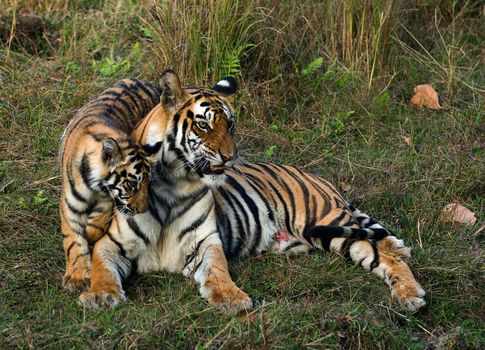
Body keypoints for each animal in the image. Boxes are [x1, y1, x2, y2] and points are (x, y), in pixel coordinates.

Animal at [58, 78, 161, 292]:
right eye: (132, 184)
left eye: (148, 183)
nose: (143, 209)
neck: (95, 185)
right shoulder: (69, 204)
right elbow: (73, 240)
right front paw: (77, 278)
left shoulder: (107, 199)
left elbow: (97, 224)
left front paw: (90, 233)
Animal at [78, 71, 424, 312]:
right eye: (203, 125)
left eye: (230, 125)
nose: (231, 157)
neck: (173, 186)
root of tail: (319, 178)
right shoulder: (112, 243)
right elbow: (101, 268)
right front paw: (100, 295)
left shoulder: (206, 242)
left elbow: (218, 270)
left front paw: (231, 298)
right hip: (327, 234)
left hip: (327, 222)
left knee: (385, 255)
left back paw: (411, 295)